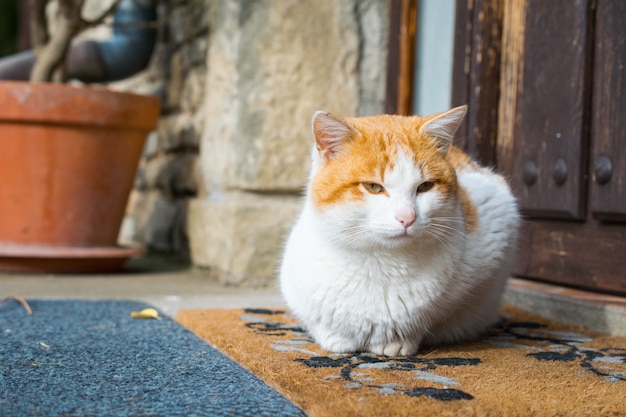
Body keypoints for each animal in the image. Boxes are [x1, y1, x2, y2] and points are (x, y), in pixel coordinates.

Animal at [280, 104, 520, 354]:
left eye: (425, 186)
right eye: (373, 187)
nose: (407, 218)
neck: (379, 262)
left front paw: (397, 340)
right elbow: (317, 321)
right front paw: (335, 337)